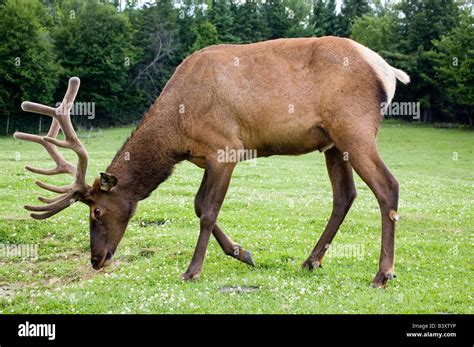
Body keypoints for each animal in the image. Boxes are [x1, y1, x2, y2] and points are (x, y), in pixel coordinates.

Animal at [14, 37, 408, 288]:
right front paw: (243, 253)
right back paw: (312, 260)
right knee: (345, 195)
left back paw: (383, 273)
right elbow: (198, 205)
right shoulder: (206, 157)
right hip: (331, 142)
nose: (97, 259)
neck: (177, 130)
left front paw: (193, 270)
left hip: (354, 127)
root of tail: (388, 71)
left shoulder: (225, 147)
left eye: (96, 211)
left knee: (388, 186)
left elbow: (206, 210)